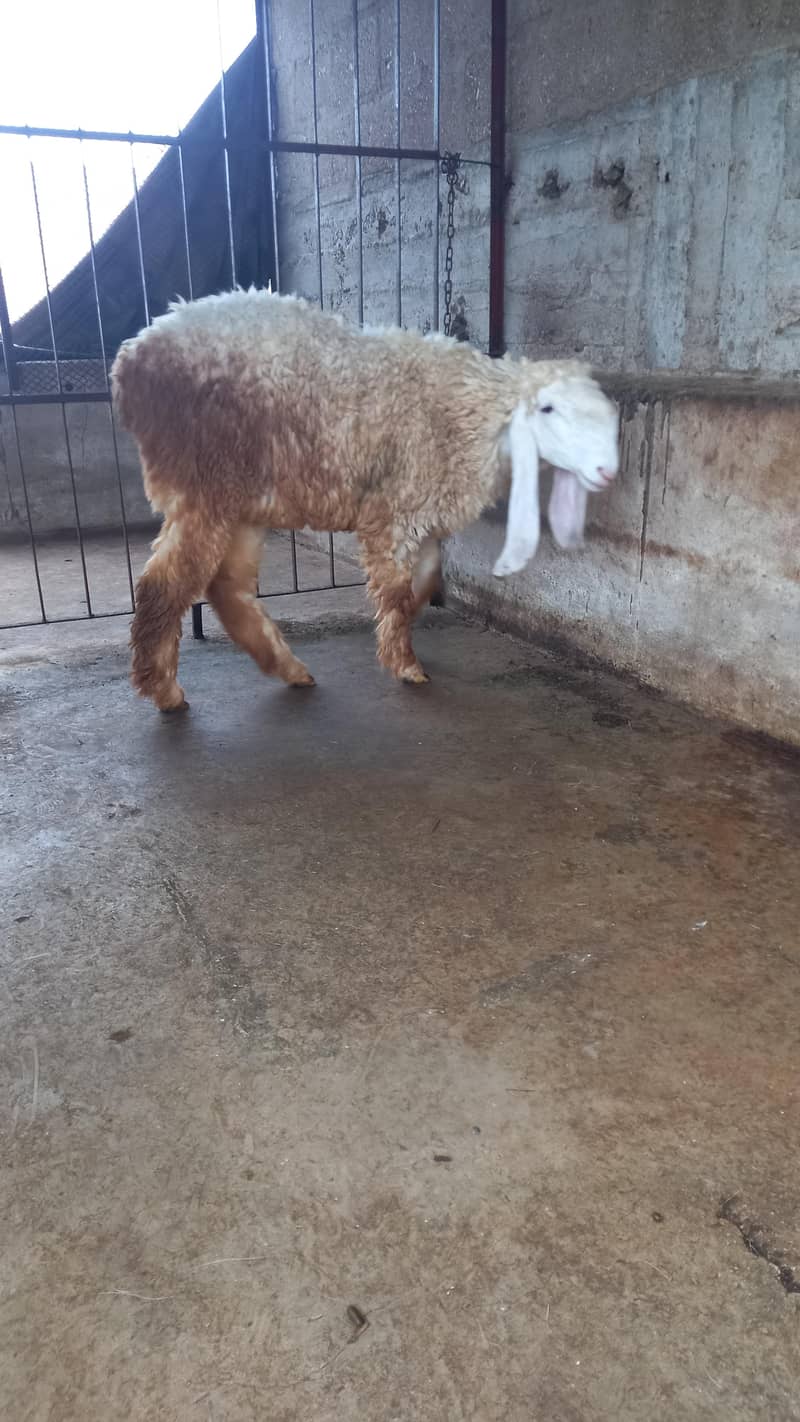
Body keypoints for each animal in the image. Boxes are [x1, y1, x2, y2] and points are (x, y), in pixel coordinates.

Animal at [111, 288, 619, 711]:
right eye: (548, 409)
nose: (607, 471)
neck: (473, 413)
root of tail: (129, 362)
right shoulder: (396, 510)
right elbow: (396, 590)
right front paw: (405, 663)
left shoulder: (422, 510)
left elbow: (426, 581)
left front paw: (403, 631)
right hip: (205, 483)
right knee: (163, 584)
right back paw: (164, 690)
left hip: (242, 499)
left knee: (226, 586)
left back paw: (287, 668)